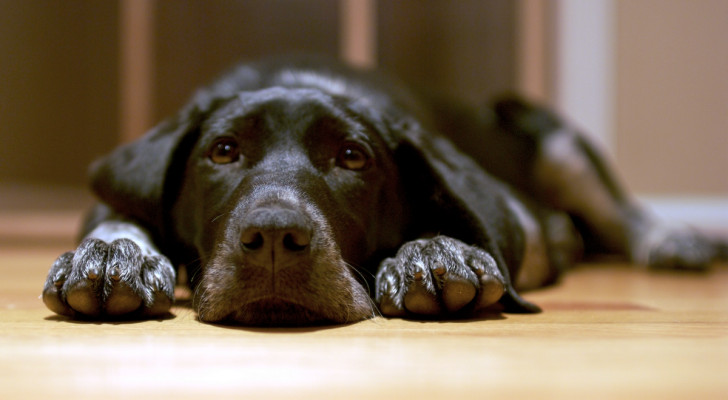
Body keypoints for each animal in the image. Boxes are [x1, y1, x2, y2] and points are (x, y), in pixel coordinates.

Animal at [44, 56, 724, 324]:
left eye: (352, 157)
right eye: (223, 151)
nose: (273, 239)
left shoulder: (521, 220)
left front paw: (432, 251)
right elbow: (118, 219)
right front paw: (112, 257)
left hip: (552, 139)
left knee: (624, 213)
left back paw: (675, 239)